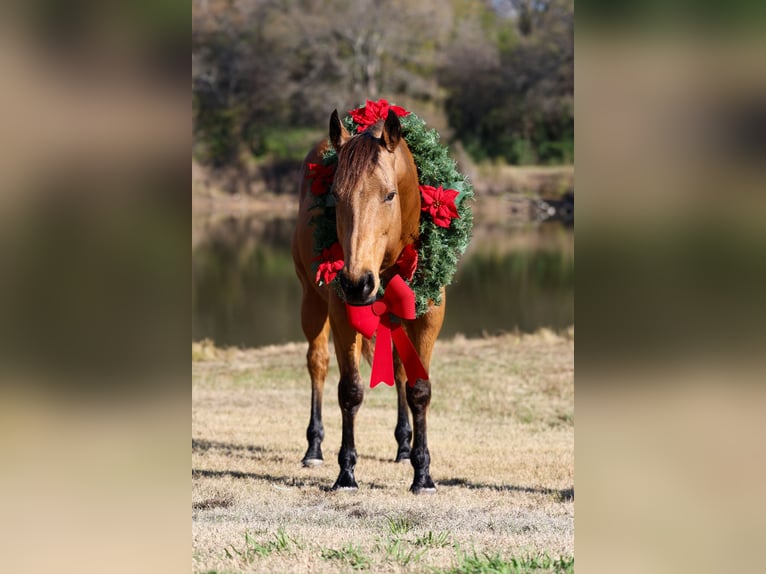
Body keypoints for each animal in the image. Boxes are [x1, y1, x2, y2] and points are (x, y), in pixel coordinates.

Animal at [291, 108, 445, 493]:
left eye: (389, 195)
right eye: (335, 195)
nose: (356, 283)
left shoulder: (429, 317)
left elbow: (418, 388)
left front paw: (423, 474)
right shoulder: (342, 316)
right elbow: (350, 391)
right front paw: (346, 473)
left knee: (401, 370)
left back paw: (404, 448)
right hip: (312, 304)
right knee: (317, 364)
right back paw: (314, 448)